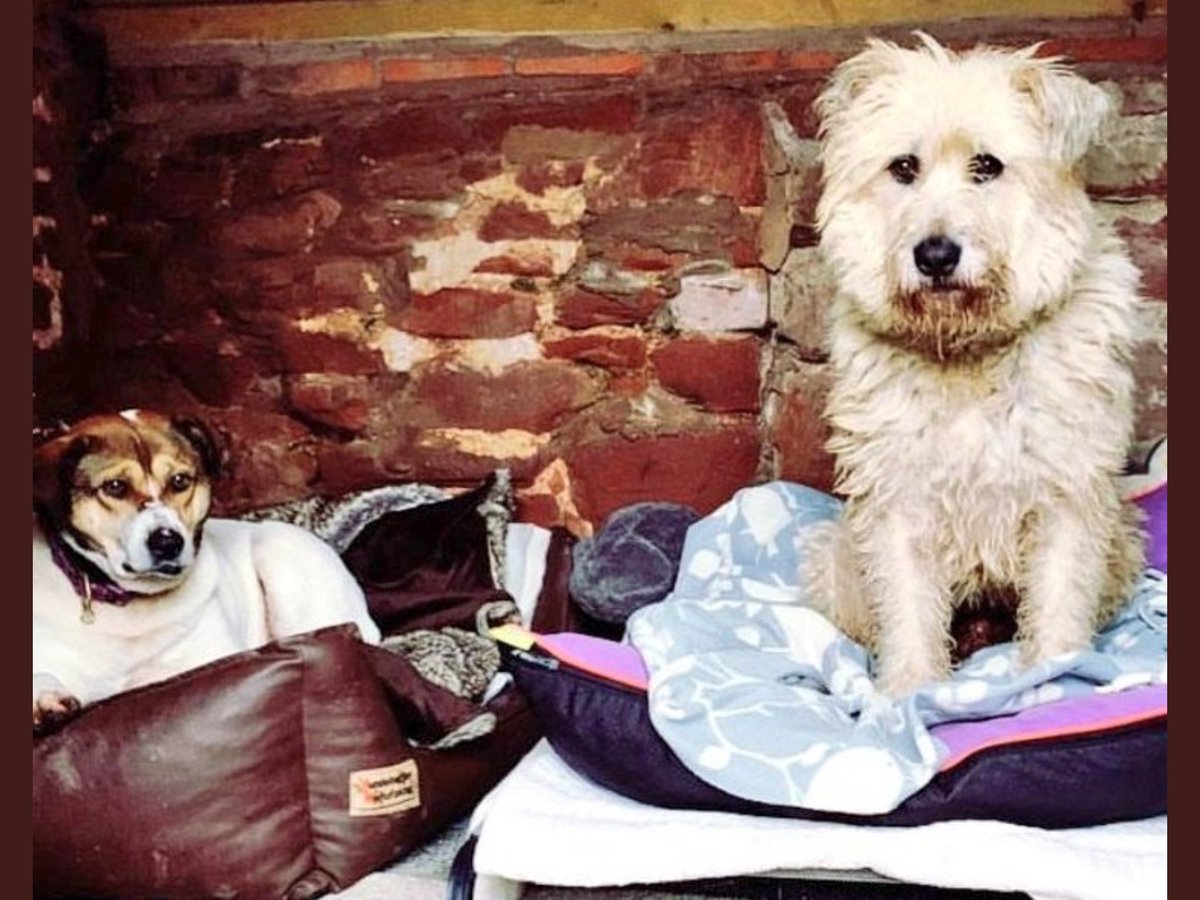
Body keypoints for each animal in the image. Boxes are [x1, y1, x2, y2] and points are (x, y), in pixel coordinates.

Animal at [32, 408, 379, 734]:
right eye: (115, 487)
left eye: (180, 481)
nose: (168, 542)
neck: (128, 603)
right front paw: (45, 699)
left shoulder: (210, 658)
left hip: (280, 560)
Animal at [806, 33, 1142, 696]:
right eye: (903, 168)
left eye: (987, 165)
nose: (935, 255)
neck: (968, 350)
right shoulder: (896, 503)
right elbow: (909, 612)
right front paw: (908, 695)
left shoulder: (1068, 496)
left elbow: (1059, 602)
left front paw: (1057, 682)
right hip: (836, 556)